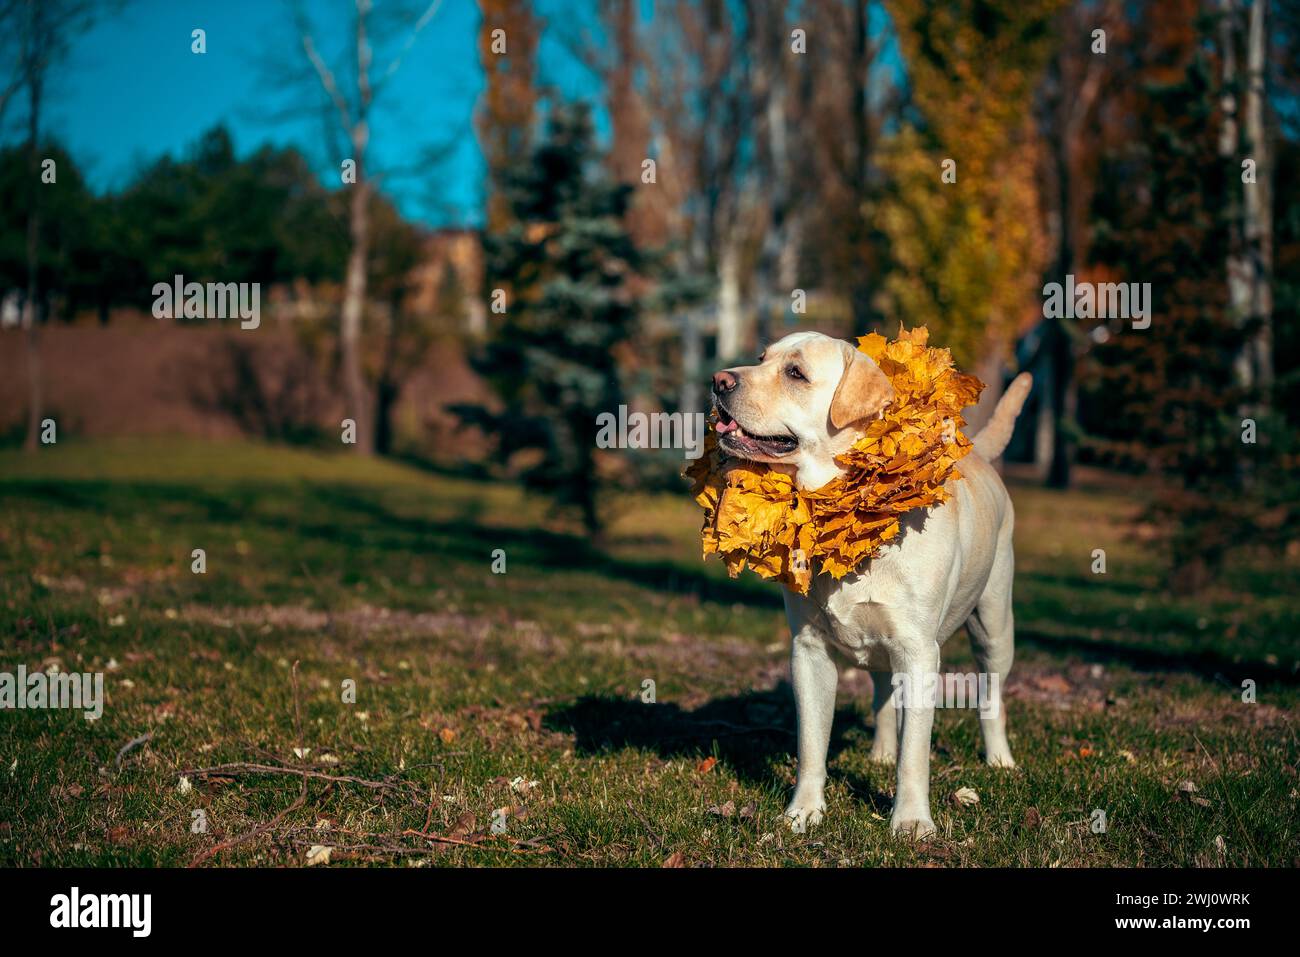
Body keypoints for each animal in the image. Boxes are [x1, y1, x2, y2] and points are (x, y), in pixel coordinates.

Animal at [712, 330, 1024, 837]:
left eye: (795, 373)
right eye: (761, 358)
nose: (719, 380)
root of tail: (974, 450)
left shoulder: (919, 653)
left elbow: (915, 753)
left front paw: (912, 822)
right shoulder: (809, 650)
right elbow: (811, 744)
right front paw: (803, 812)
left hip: (994, 624)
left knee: (991, 694)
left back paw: (999, 760)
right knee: (882, 692)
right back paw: (880, 752)